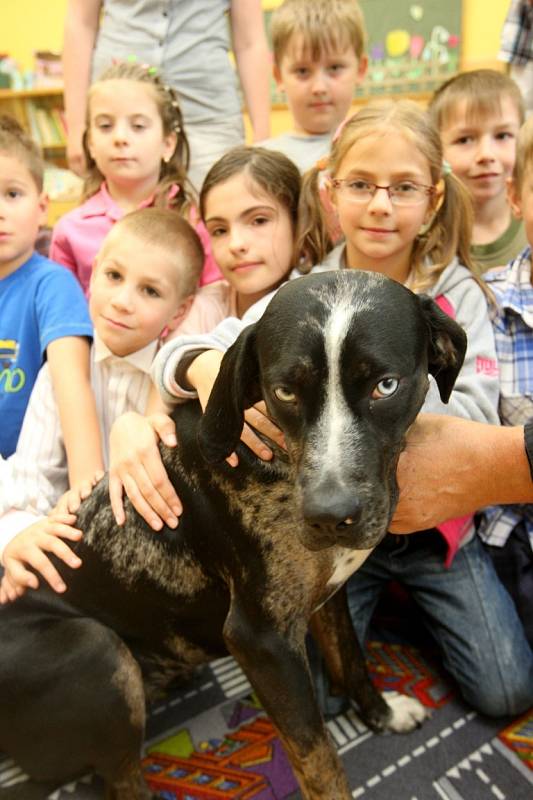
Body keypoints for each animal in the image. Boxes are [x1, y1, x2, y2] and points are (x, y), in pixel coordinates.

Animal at [0, 270, 466, 800]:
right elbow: (319, 761)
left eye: (385, 386)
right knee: (122, 779)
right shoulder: (262, 642)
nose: (329, 516)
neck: (276, 453)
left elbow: (351, 660)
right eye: (285, 392)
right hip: (97, 651)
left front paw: (382, 715)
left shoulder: (326, 600)